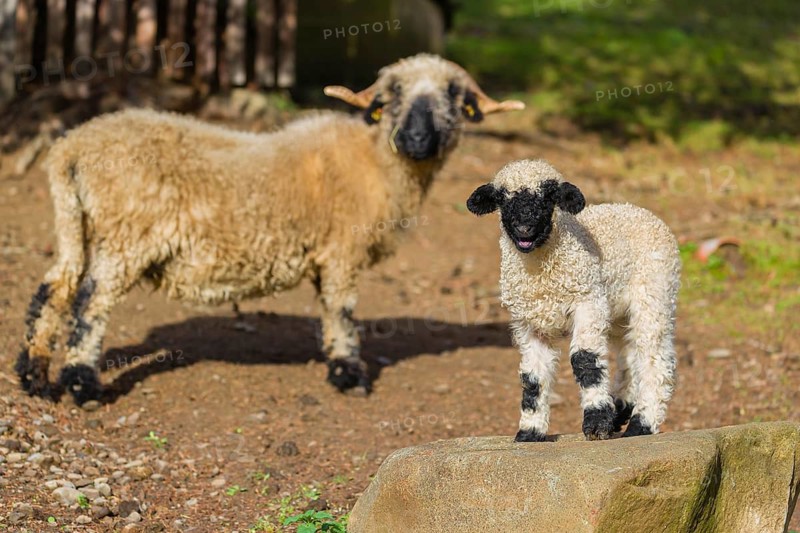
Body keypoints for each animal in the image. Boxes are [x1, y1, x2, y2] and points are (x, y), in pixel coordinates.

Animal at [15, 54, 525, 405]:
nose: (417, 139)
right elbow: (342, 310)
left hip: (77, 222)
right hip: (126, 233)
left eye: (454, 97)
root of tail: (72, 147)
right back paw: (82, 385)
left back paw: (34, 377)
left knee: (54, 288)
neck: (375, 161)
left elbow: (329, 309)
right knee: (90, 301)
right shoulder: (341, 250)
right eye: (391, 96)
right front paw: (349, 375)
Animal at [466, 159, 680, 441]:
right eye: (502, 198)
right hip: (618, 311)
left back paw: (641, 424)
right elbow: (532, 377)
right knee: (630, 356)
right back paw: (621, 410)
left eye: (549, 196)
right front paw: (530, 432)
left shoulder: (588, 302)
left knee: (655, 358)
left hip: (655, 292)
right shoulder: (529, 324)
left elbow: (585, 360)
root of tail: (639, 211)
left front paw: (597, 422)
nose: (524, 229)